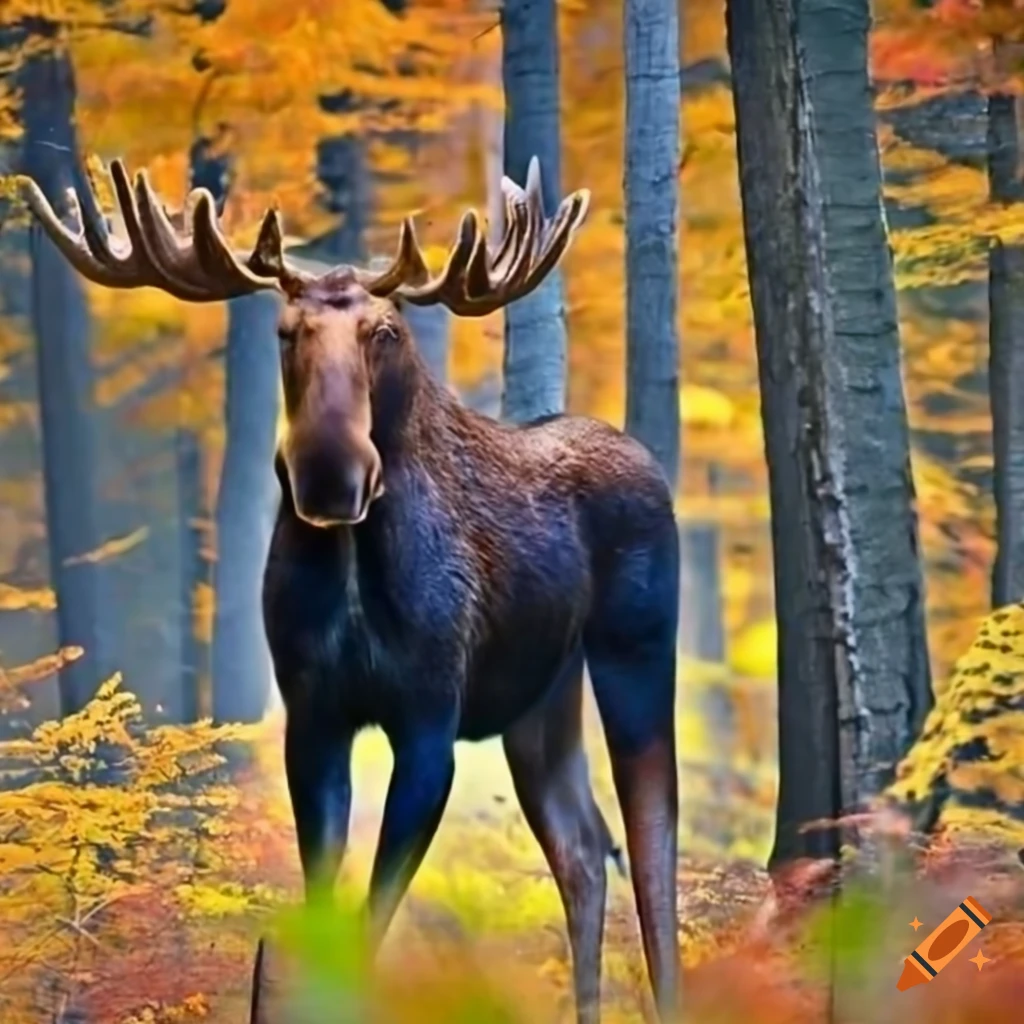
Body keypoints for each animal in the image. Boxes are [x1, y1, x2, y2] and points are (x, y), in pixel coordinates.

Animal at [16, 156, 681, 1024]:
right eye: (285, 331)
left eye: (385, 332)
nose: (330, 472)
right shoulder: (314, 715)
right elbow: (323, 916)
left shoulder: (429, 719)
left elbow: (368, 925)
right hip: (541, 699)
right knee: (582, 847)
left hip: (636, 647)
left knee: (652, 838)